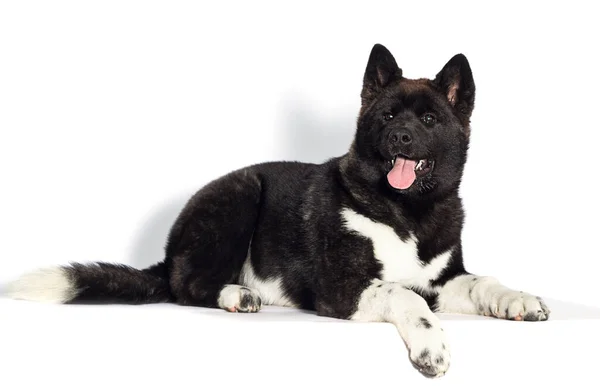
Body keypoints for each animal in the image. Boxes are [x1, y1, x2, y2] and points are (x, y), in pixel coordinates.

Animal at [5, 44, 548, 378]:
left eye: (430, 119)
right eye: (388, 115)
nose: (399, 137)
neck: (406, 212)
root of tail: (170, 247)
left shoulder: (442, 278)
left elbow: (481, 282)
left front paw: (518, 300)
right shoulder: (344, 290)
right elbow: (404, 295)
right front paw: (431, 348)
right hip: (241, 194)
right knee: (186, 285)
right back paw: (235, 294)